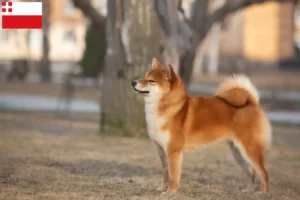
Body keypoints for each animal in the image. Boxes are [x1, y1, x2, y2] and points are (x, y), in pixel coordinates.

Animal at [131, 57, 272, 195]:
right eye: (145, 76)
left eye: (151, 81)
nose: (133, 82)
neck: (170, 108)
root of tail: (252, 102)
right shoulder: (161, 150)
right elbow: (166, 173)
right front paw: (162, 188)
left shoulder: (173, 152)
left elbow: (173, 176)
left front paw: (170, 192)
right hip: (237, 152)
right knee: (251, 171)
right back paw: (249, 190)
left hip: (250, 149)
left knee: (264, 172)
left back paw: (263, 193)